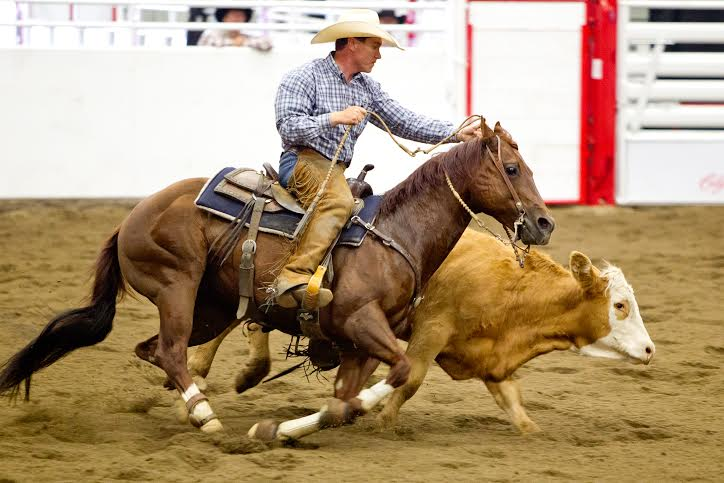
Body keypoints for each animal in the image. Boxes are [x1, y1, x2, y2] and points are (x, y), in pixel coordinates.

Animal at [0, 122, 556, 434]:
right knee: (171, 350)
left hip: (209, 308)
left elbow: (345, 402)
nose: (544, 223)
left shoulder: (356, 344)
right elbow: (399, 371)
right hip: (177, 287)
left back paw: (192, 405)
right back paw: (205, 417)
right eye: (511, 168)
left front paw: (290, 428)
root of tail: (130, 217)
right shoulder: (359, 322)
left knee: (153, 349)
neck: (395, 233)